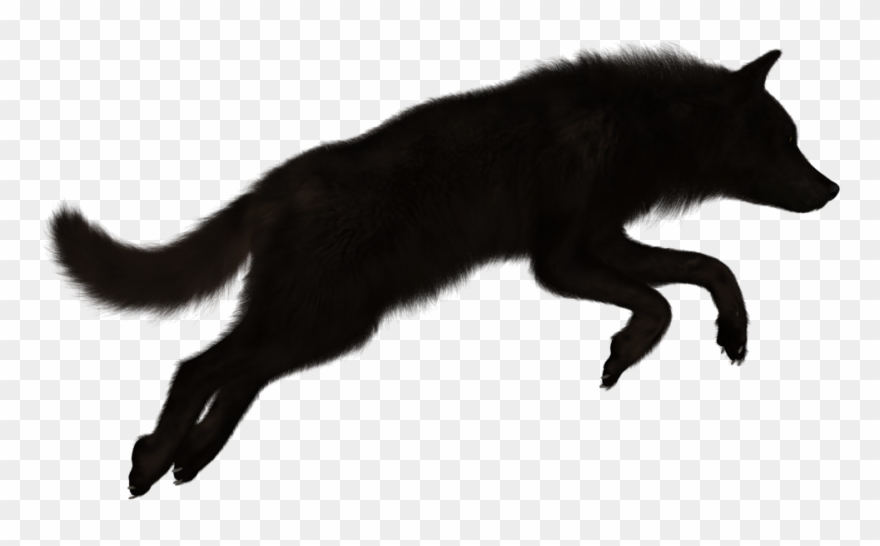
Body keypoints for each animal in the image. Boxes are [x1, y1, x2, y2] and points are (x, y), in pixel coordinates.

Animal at [48, 46, 839, 497]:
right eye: (785, 140)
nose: (831, 190)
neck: (634, 127)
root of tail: (269, 188)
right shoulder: (559, 259)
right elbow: (664, 299)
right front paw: (625, 353)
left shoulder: (603, 239)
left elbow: (706, 270)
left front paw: (719, 333)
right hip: (321, 323)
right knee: (199, 367)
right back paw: (153, 460)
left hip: (323, 329)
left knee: (237, 377)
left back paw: (190, 457)